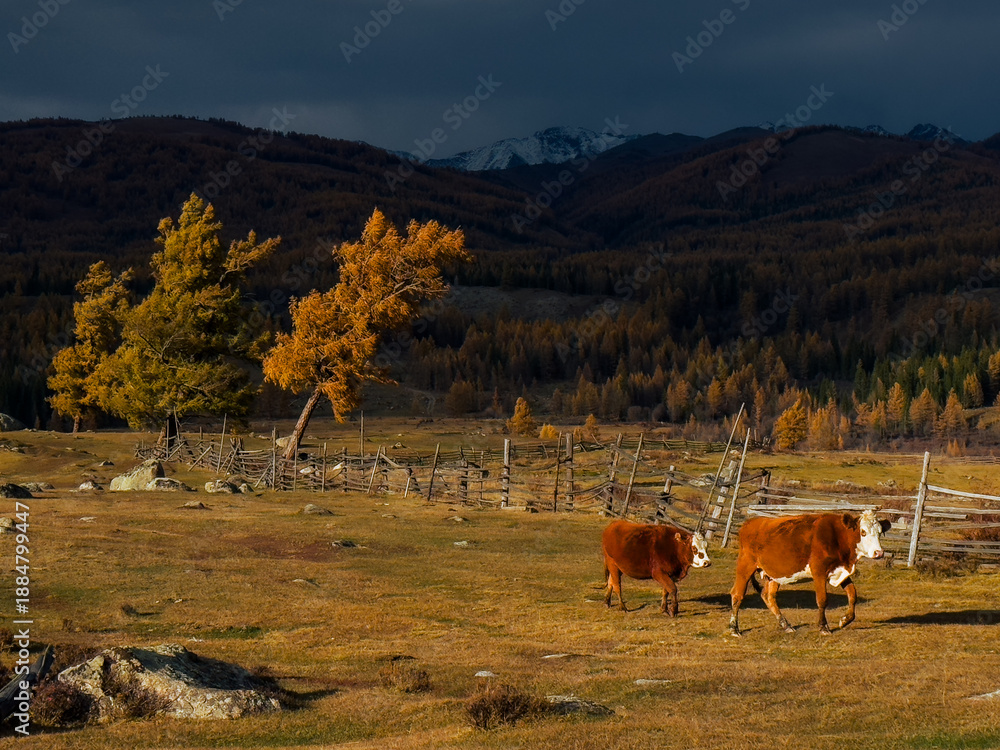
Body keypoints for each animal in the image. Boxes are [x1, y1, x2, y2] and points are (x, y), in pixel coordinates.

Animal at [729, 509, 892, 637]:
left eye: (880, 532)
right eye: (863, 532)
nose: (879, 552)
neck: (837, 537)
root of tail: (750, 523)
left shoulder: (839, 570)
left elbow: (853, 595)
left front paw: (844, 620)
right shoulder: (819, 572)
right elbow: (822, 600)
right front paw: (823, 627)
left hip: (773, 574)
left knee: (768, 596)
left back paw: (786, 625)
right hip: (745, 566)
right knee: (737, 595)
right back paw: (734, 629)